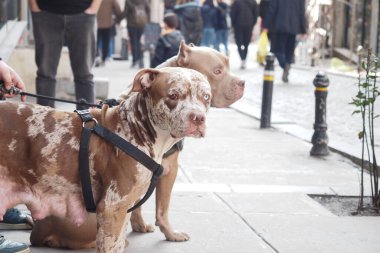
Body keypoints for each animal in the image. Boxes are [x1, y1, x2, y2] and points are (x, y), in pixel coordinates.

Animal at [0, 66, 212, 252]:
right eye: (173, 95)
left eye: (206, 97)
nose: (198, 118)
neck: (135, 129)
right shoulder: (112, 207)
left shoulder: (124, 210)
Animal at [29, 41, 243, 247]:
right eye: (217, 71)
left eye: (205, 96)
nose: (243, 83)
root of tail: (42, 230)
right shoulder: (168, 171)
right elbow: (162, 209)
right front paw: (170, 233)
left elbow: (138, 204)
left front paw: (139, 225)